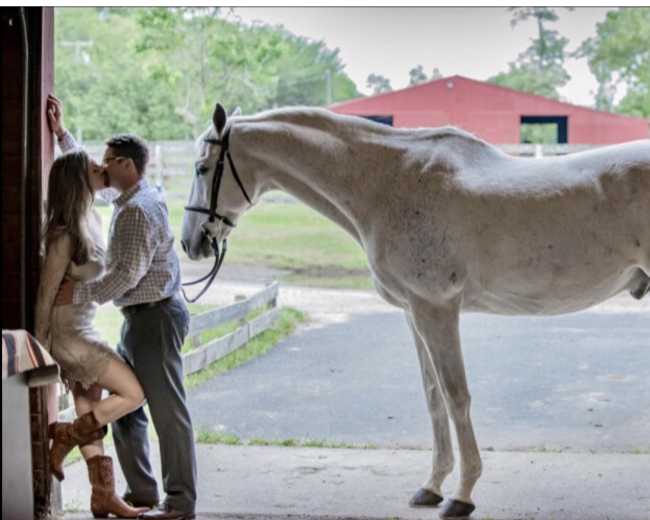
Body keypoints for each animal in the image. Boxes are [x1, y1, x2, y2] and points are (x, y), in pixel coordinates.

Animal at [181, 103, 650, 519]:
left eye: (202, 168)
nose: (191, 242)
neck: (389, 183)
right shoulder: (414, 312)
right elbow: (433, 396)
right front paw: (432, 487)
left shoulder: (436, 308)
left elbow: (456, 396)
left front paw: (462, 495)